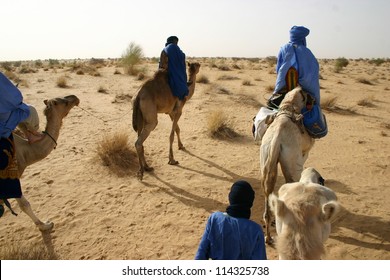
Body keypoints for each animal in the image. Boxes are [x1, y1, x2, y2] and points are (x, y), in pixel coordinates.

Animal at [2, 95, 79, 231]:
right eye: (64, 102)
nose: (75, 98)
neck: (26, 150)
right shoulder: (11, 176)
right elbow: (25, 205)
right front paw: (45, 225)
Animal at [260, 86, 316, 244]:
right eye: (308, 95)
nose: (314, 100)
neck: (290, 106)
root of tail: (276, 139)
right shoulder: (305, 151)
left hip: (265, 160)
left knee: (267, 193)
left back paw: (268, 236)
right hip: (292, 165)